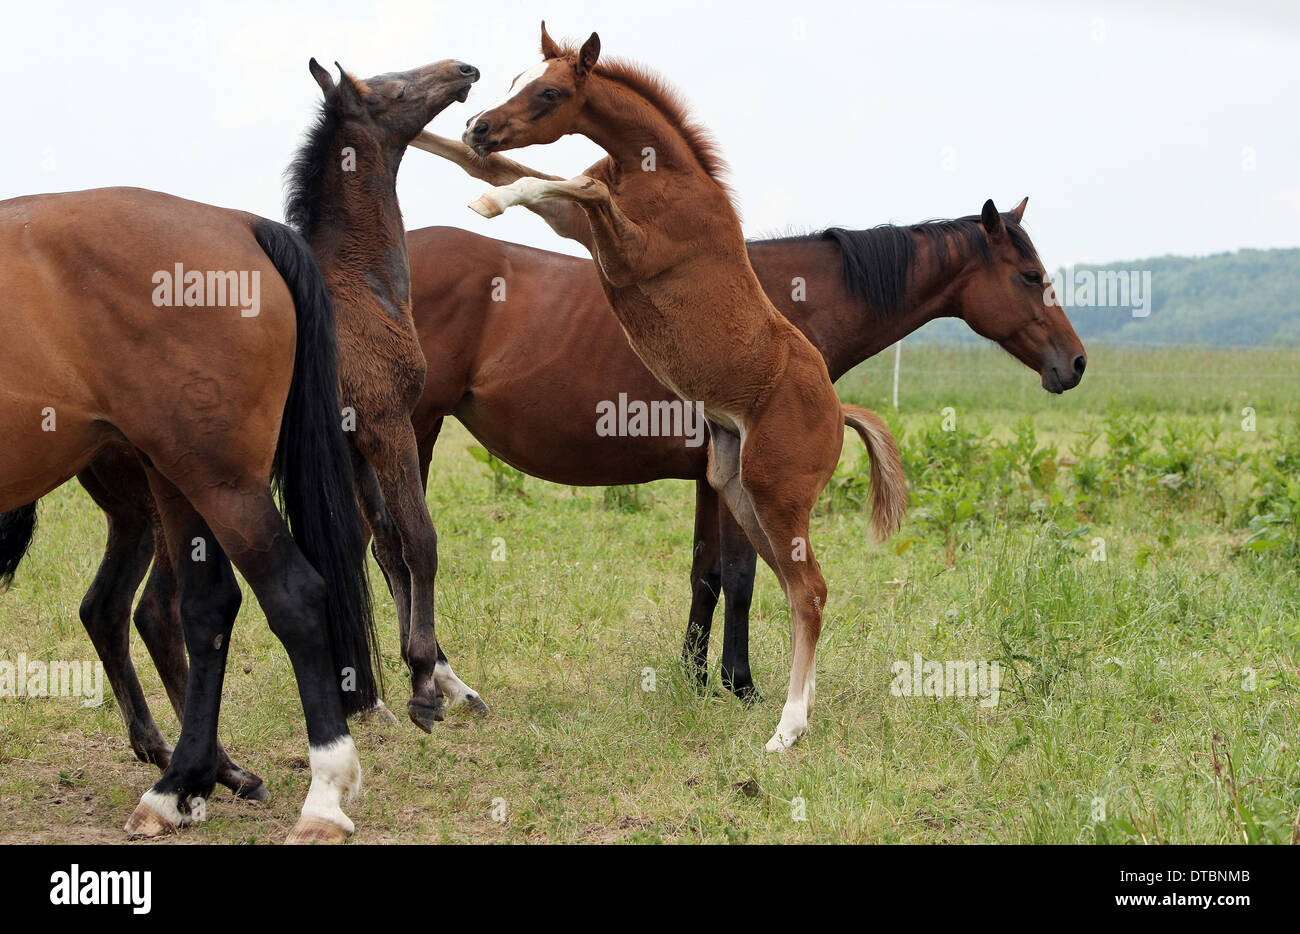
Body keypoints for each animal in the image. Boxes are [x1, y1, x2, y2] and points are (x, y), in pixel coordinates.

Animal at [465, 23, 904, 754]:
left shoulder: (629, 250)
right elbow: (549, 185)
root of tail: (839, 409)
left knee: (810, 589)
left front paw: (488, 198)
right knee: (797, 590)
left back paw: (786, 730)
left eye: (550, 92)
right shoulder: (581, 230)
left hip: (775, 493)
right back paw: (798, 711)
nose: (477, 127)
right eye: (511, 81)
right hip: (741, 492)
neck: (659, 173)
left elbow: (573, 188)